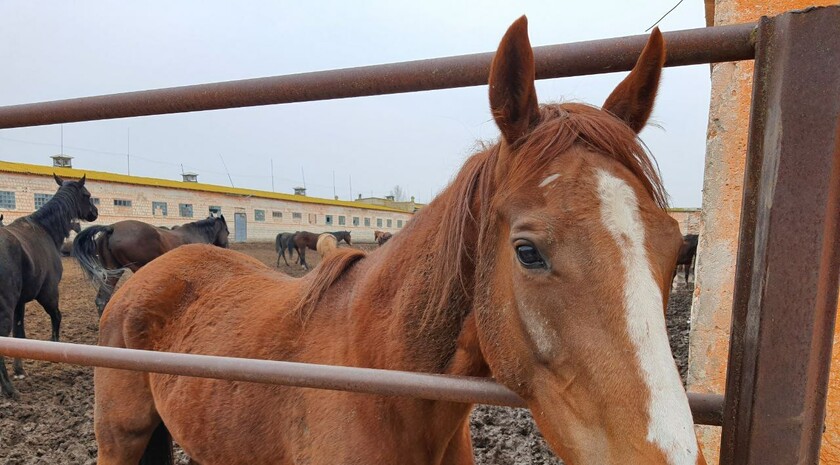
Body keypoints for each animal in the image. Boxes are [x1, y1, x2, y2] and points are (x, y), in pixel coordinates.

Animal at [0, 172, 98, 396]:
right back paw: (9, 389)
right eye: (87, 195)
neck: (44, 231)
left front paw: (19, 370)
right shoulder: (49, 294)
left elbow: (19, 335)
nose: (95, 213)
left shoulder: (20, 302)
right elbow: (57, 317)